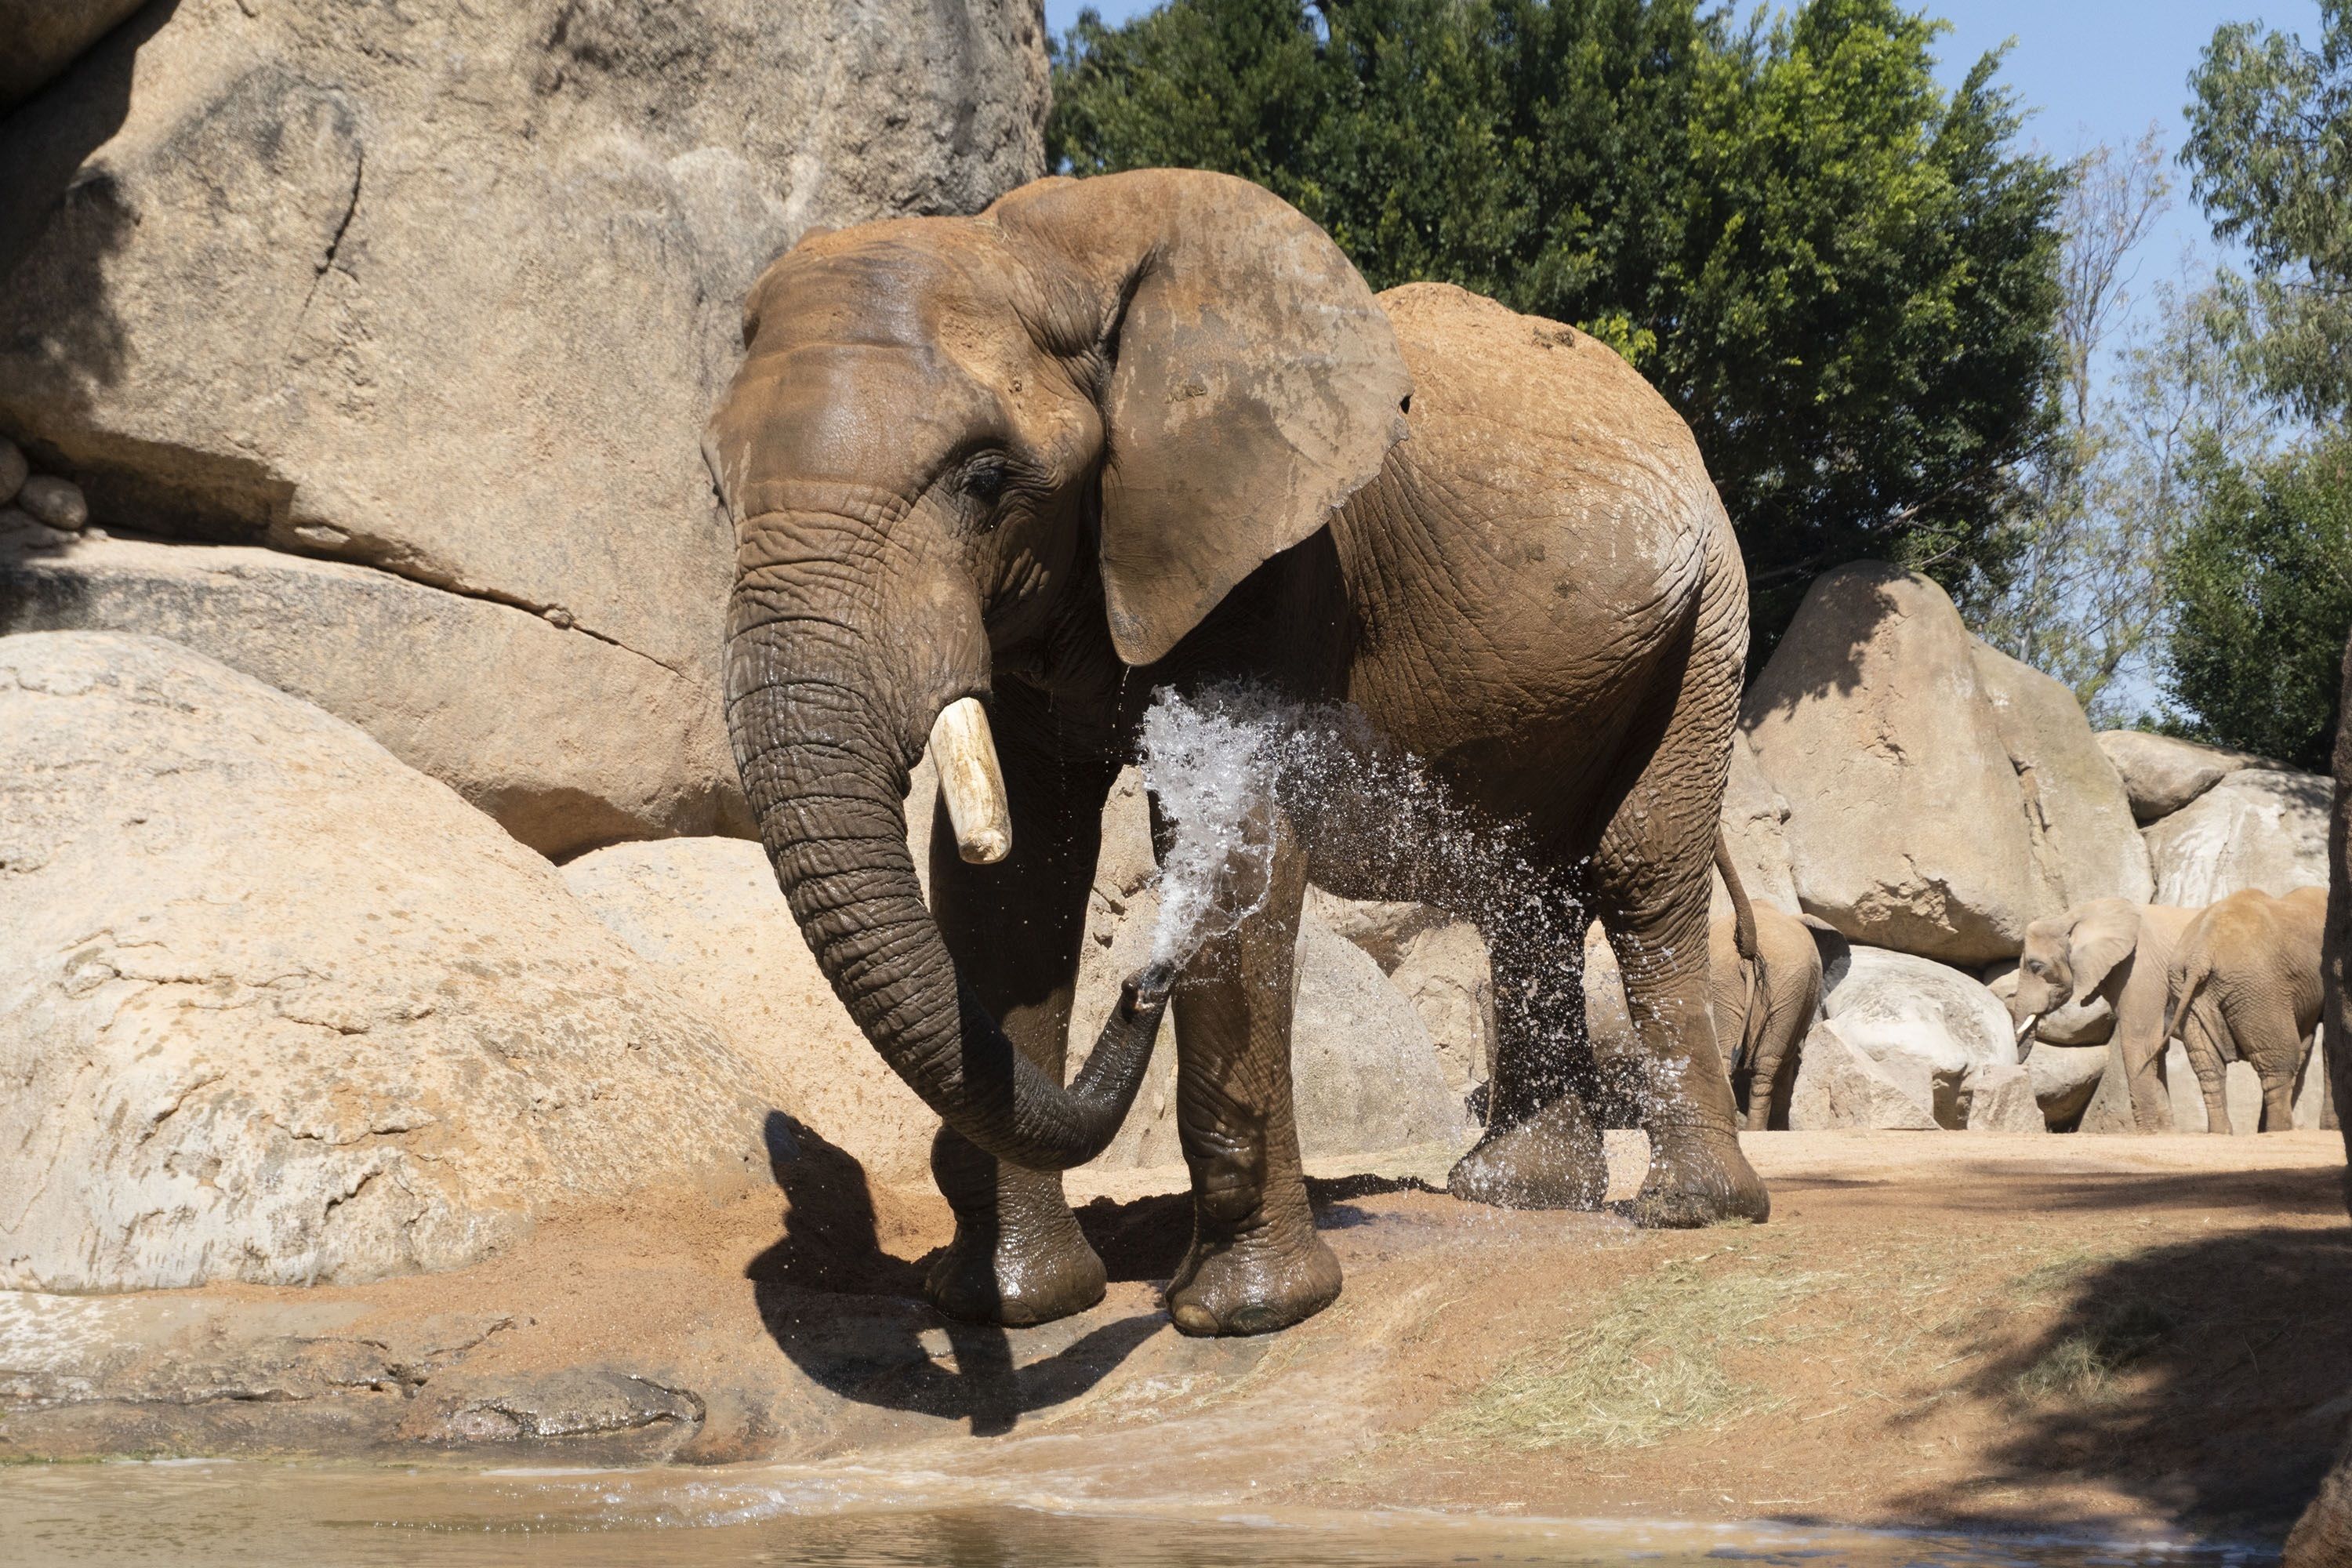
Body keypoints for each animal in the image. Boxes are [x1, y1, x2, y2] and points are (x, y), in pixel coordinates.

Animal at [696, 169, 1769, 1335]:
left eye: (986, 478)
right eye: (716, 489)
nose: (1142, 982)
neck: (1045, 250)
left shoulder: (1280, 550)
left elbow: (1237, 841)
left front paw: (1243, 1314)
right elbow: (1017, 880)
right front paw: (1010, 1305)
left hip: (1710, 612)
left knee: (1640, 870)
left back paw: (1690, 1210)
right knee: (1522, 888)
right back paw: (1516, 1194)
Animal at [2004, 902, 2201, 1133]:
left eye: (2036, 966)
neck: (2072, 918)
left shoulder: (2140, 968)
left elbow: (2139, 1042)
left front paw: (2149, 1133)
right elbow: (2156, 1048)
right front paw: (2165, 1133)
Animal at [2164, 888, 2333, 1133]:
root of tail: (2199, 956)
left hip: (2190, 995)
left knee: (2209, 1067)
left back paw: (2223, 1132)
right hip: (2258, 989)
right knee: (2279, 1061)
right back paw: (2280, 1130)